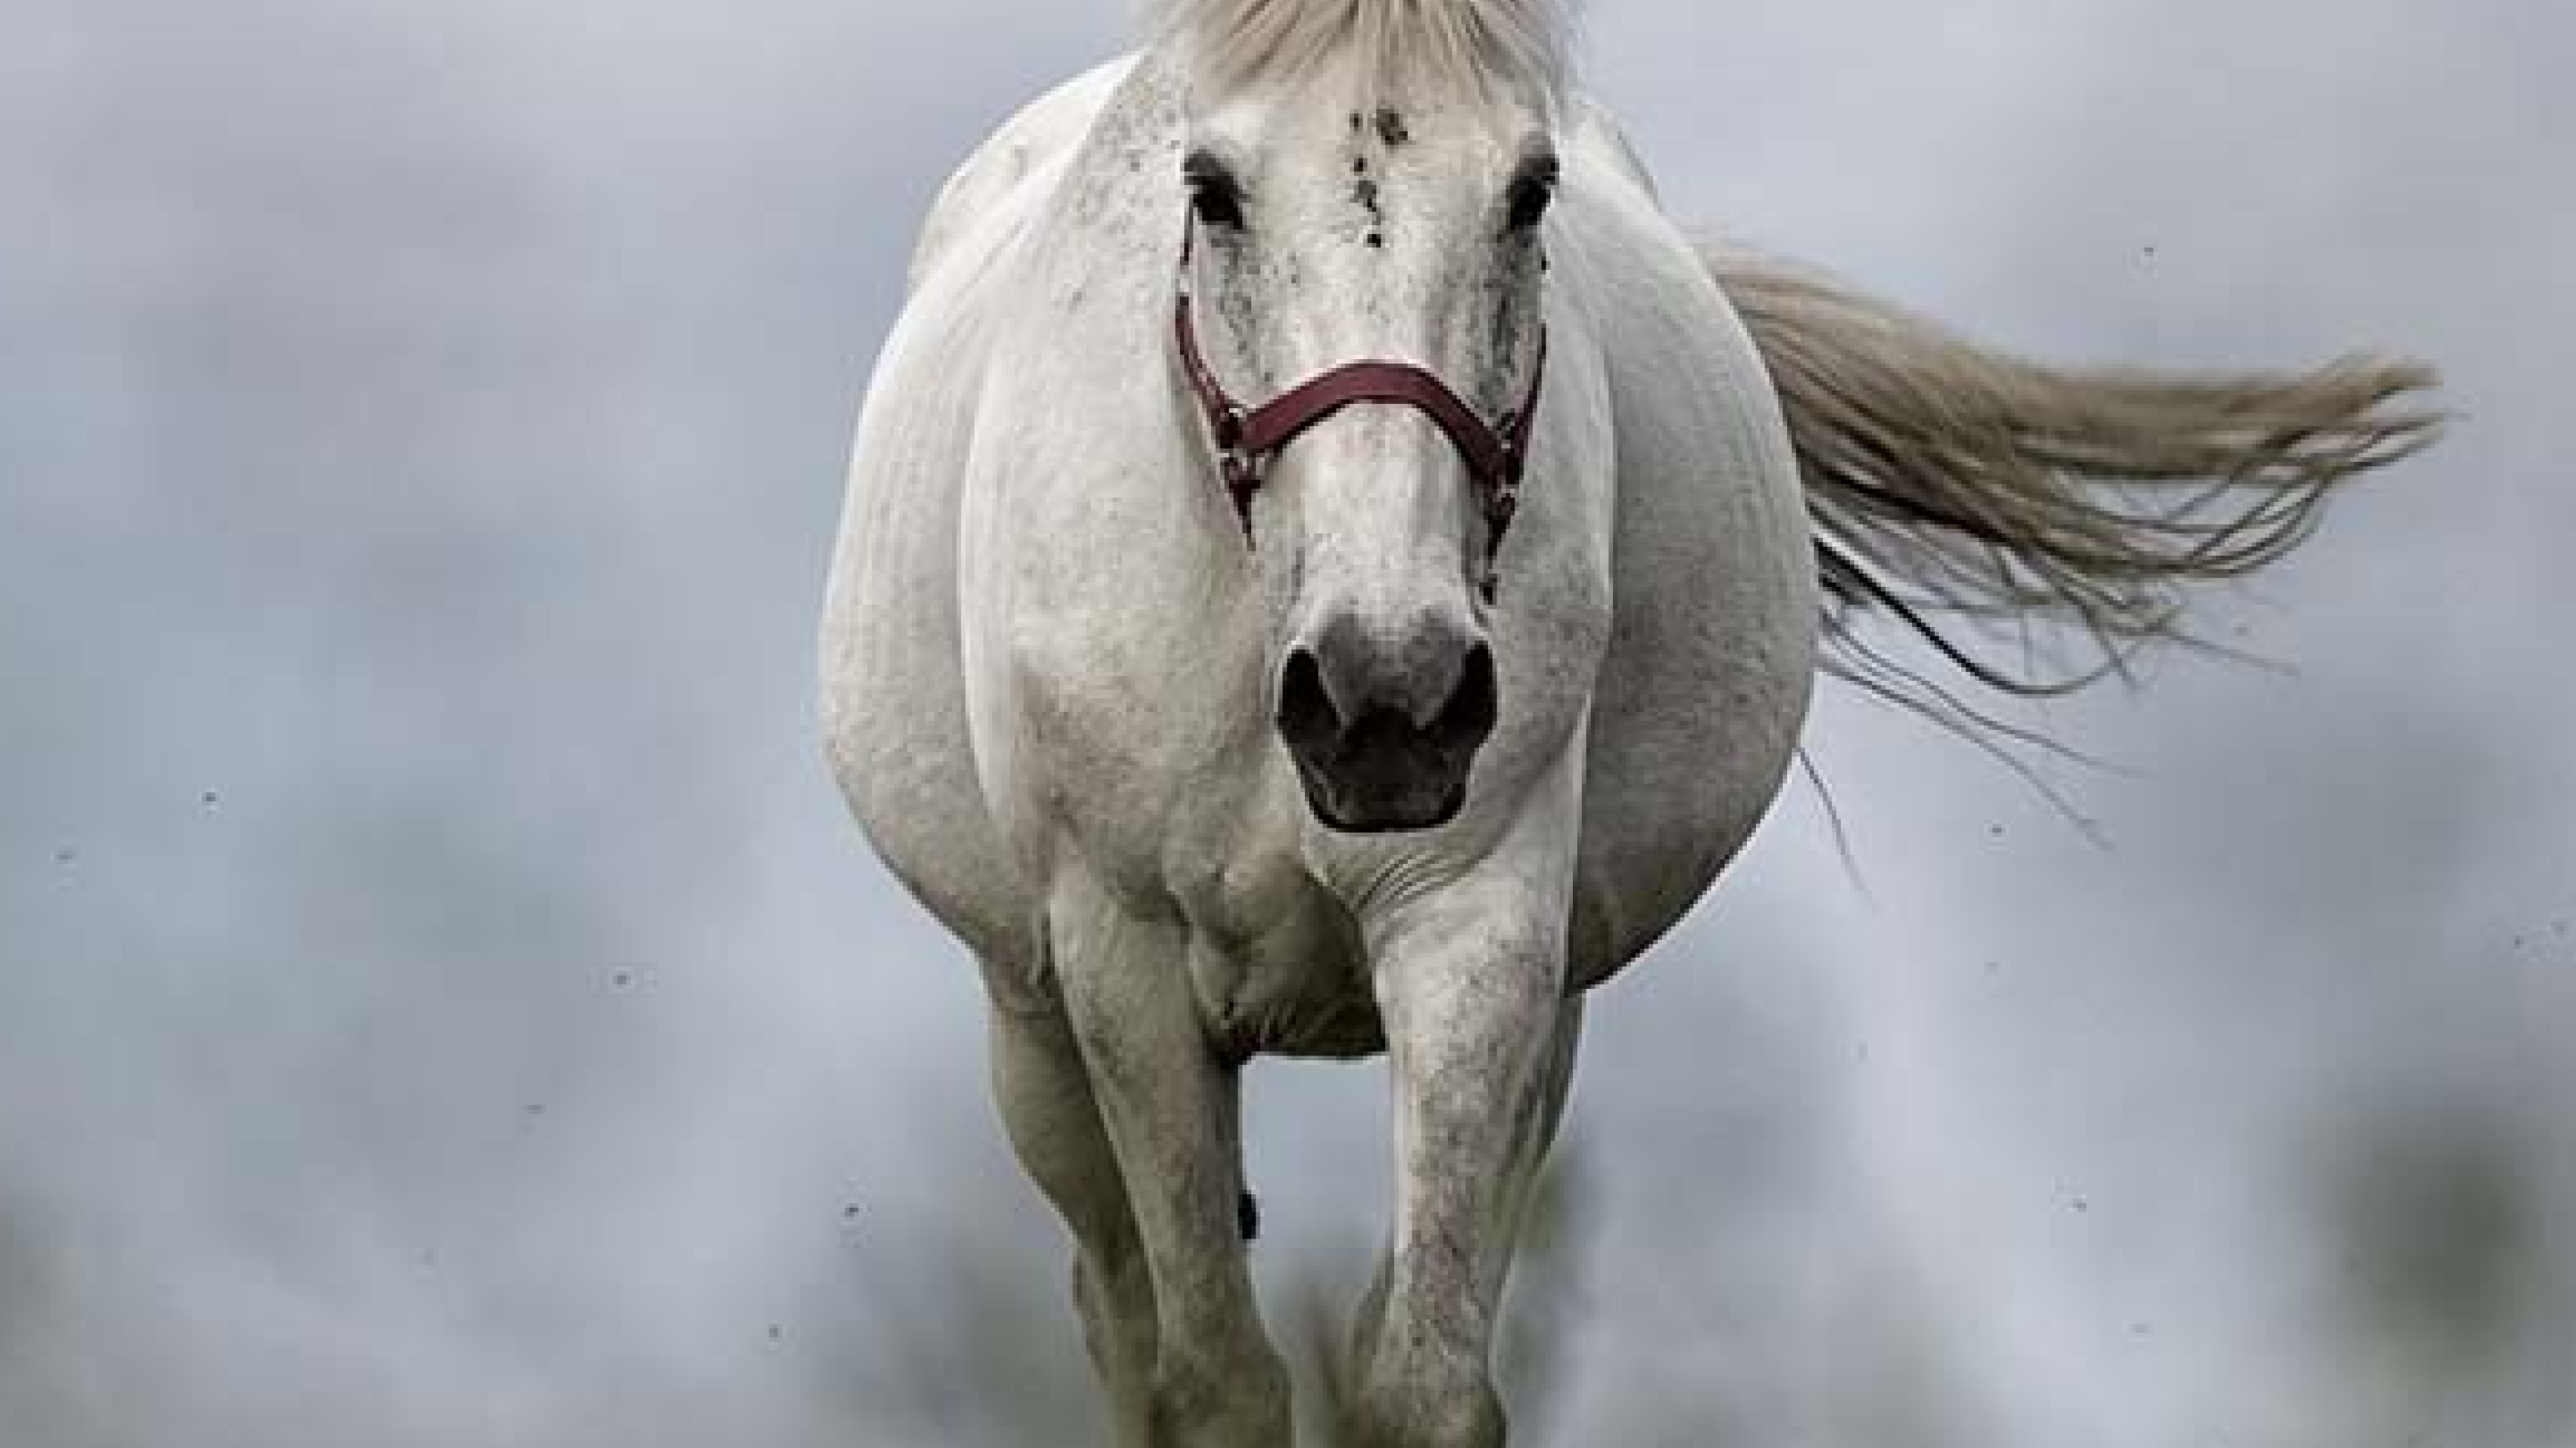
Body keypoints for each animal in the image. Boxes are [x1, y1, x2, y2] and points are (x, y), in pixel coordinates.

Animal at [819, 5, 2431, 1432]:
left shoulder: (1478, 930)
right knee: (1121, 1309)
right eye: (1210, 191)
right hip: (1035, 1026)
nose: (1384, 695)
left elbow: (1420, 1384)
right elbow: (1210, 1380)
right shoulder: (1127, 963)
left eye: (1528, 188)